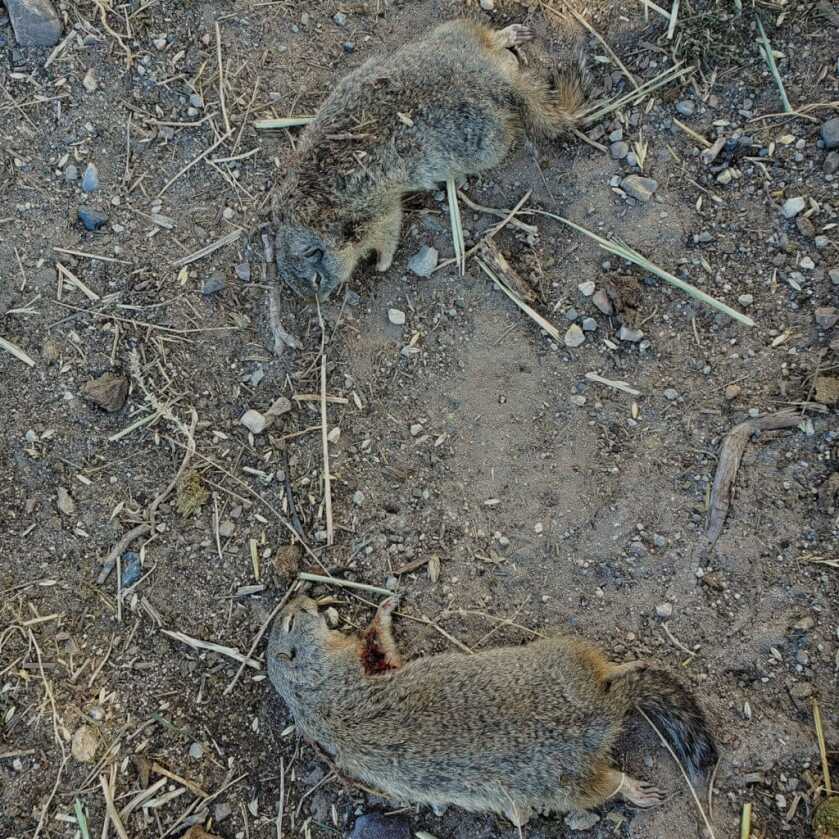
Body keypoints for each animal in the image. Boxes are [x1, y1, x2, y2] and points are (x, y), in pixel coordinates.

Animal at [267, 595, 717, 827]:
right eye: (289, 623)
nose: (303, 597)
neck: (308, 693)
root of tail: (602, 709)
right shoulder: (354, 666)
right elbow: (379, 641)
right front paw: (385, 607)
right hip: (571, 758)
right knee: (606, 782)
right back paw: (633, 787)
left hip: (570, 663)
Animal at [273, 18, 589, 302]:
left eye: (316, 279)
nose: (317, 301)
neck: (311, 211)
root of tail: (495, 80)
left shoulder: (377, 213)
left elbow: (389, 234)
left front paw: (381, 264)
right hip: (451, 32)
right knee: (487, 39)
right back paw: (509, 37)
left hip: (488, 145)